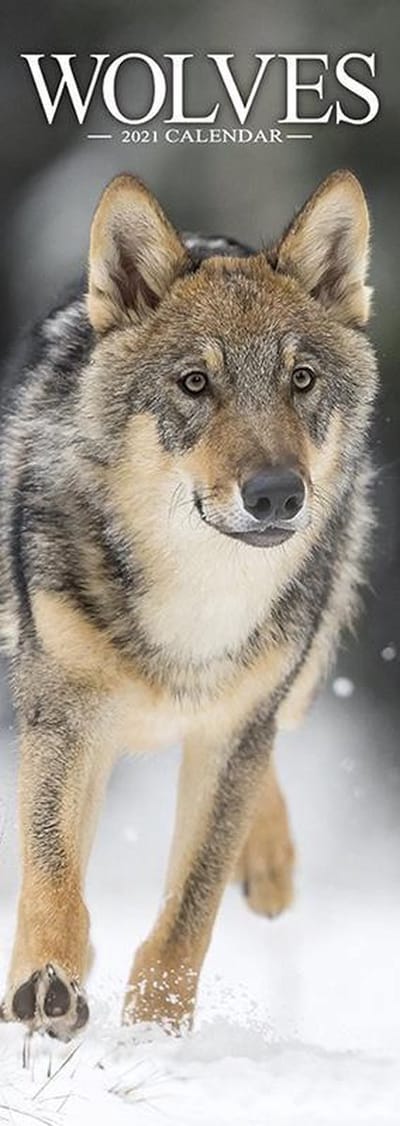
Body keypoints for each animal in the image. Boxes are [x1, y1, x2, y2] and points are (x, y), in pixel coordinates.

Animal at [0, 170, 377, 1038]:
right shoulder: (61, 712)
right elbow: (52, 872)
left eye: (300, 380)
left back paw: (269, 866)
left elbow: (189, 911)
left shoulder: (236, 728)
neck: (197, 605)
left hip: (296, 672)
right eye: (195, 383)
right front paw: (47, 982)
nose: (275, 495)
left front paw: (157, 1029)